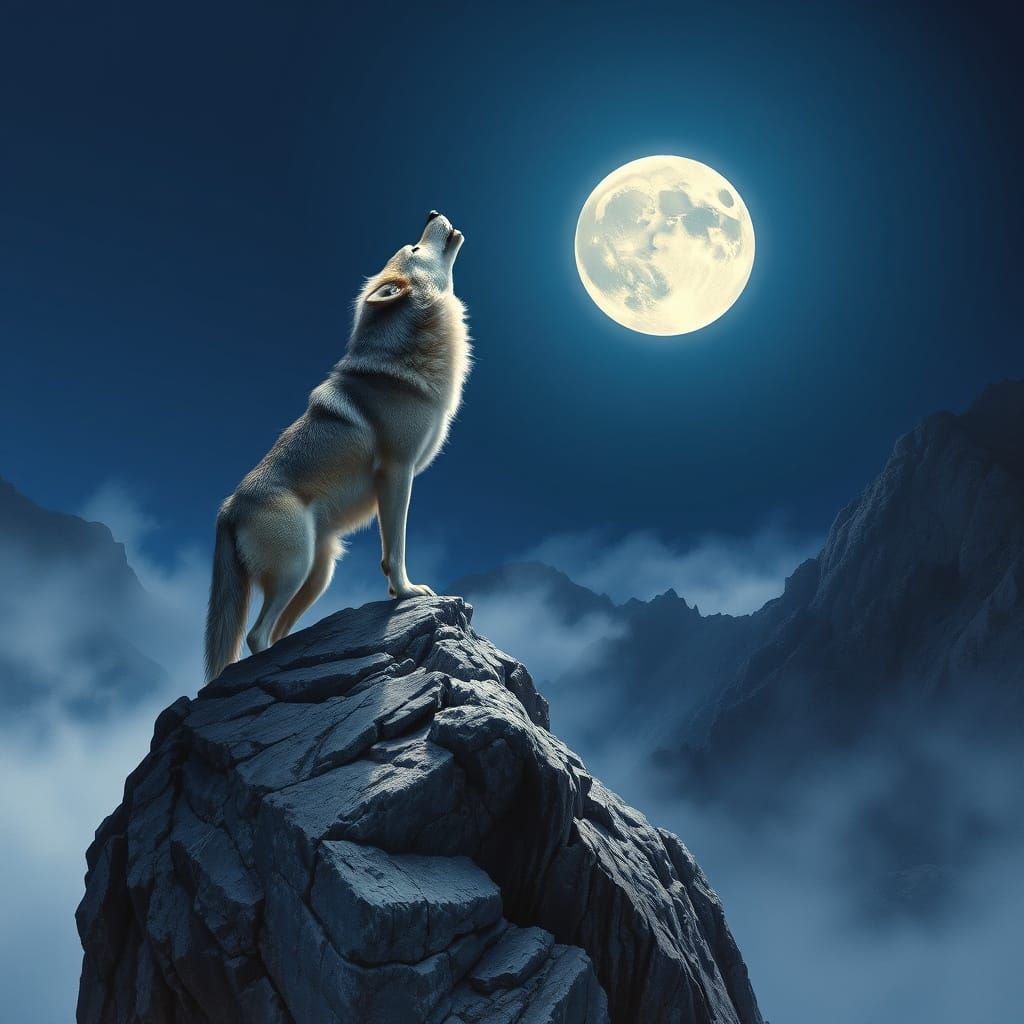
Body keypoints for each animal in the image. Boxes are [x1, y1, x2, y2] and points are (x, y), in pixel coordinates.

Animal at [204, 211, 469, 681]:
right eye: (415, 248)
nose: (432, 214)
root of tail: (228, 507)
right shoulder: (397, 473)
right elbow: (395, 547)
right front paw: (405, 591)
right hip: (295, 570)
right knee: (256, 635)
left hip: (319, 572)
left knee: (277, 630)